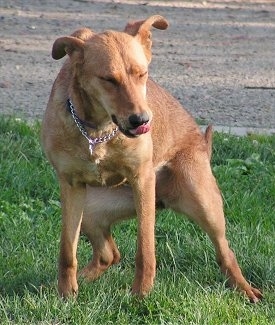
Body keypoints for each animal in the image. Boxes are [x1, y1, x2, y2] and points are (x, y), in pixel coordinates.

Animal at [41, 14, 264, 302]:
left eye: (142, 74)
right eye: (108, 79)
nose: (141, 120)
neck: (98, 132)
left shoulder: (142, 180)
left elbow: (145, 248)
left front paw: (141, 294)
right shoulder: (71, 186)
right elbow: (67, 250)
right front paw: (66, 294)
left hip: (203, 201)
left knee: (226, 253)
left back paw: (245, 289)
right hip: (90, 208)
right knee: (108, 254)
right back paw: (76, 282)